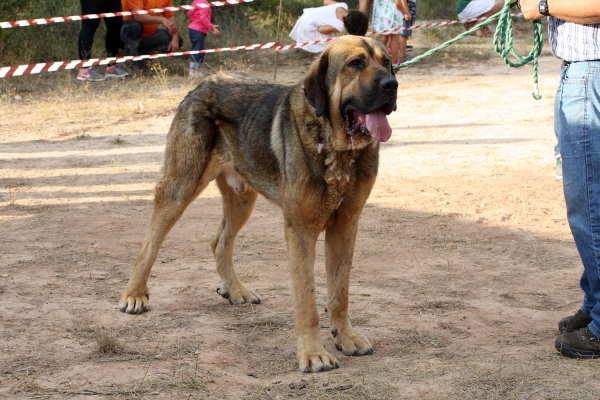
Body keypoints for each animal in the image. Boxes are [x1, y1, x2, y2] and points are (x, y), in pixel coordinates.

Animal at [119, 34, 396, 372]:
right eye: (356, 63)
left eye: (387, 62)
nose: (392, 84)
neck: (336, 147)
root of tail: (203, 84)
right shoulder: (300, 232)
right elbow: (307, 301)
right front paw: (313, 353)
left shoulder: (345, 226)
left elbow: (339, 293)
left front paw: (345, 337)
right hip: (179, 187)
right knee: (150, 244)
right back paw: (134, 295)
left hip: (242, 198)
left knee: (220, 242)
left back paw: (235, 290)